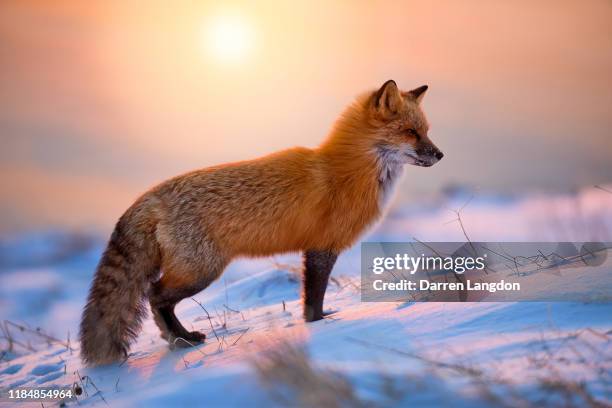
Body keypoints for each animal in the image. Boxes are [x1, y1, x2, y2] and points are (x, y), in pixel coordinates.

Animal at [80, 79, 444, 364]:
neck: (348, 173)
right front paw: (319, 325)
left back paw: (179, 339)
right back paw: (181, 339)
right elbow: (314, 297)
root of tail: (150, 195)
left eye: (426, 131)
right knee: (155, 295)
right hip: (201, 271)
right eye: (410, 132)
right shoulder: (321, 247)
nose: (440, 155)